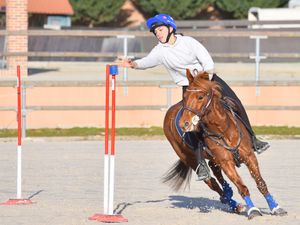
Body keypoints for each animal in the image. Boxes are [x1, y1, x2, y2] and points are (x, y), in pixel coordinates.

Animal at [163, 69, 288, 219]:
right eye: (185, 96)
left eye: (200, 97)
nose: (184, 124)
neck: (222, 129)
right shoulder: (226, 162)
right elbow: (242, 187)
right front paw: (252, 210)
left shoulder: (249, 156)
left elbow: (261, 183)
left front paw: (275, 207)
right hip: (190, 159)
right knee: (212, 183)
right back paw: (234, 204)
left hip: (213, 158)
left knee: (215, 171)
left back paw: (229, 193)